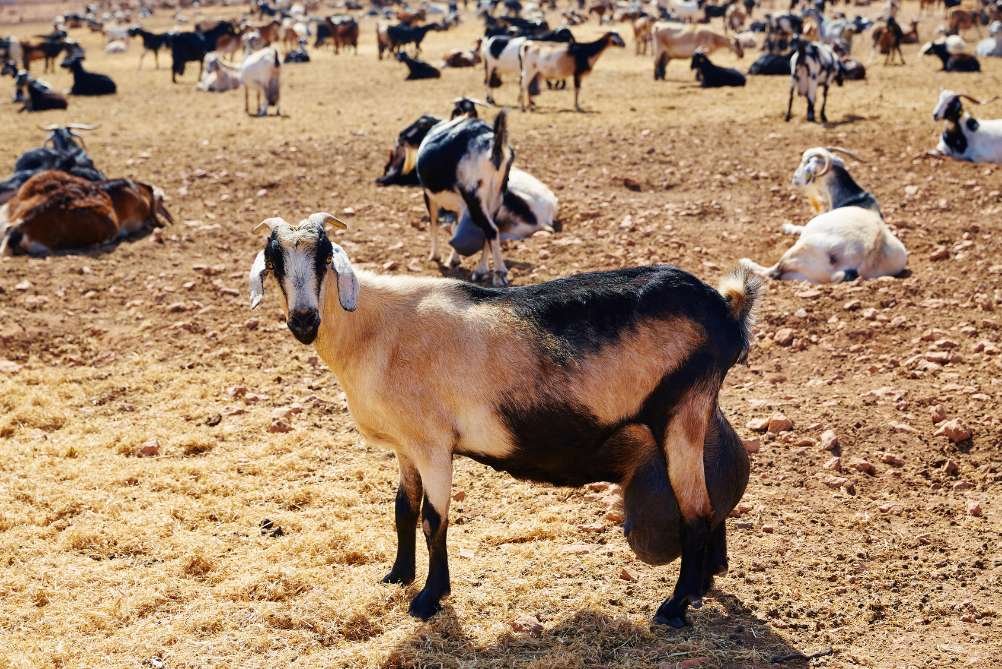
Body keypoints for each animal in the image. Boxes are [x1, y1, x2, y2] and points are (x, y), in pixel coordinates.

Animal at [246, 213, 753, 628]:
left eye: (324, 256)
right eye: (274, 260)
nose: (304, 320)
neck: (376, 329)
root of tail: (725, 306)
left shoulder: (433, 445)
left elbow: (433, 519)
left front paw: (429, 599)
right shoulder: (406, 446)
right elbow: (403, 508)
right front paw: (397, 575)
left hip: (681, 411)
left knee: (697, 511)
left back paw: (674, 607)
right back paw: (704, 584)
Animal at [737, 146, 909, 282]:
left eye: (805, 162)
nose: (794, 179)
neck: (855, 198)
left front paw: (787, 226)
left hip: (799, 249)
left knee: (772, 272)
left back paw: (747, 262)